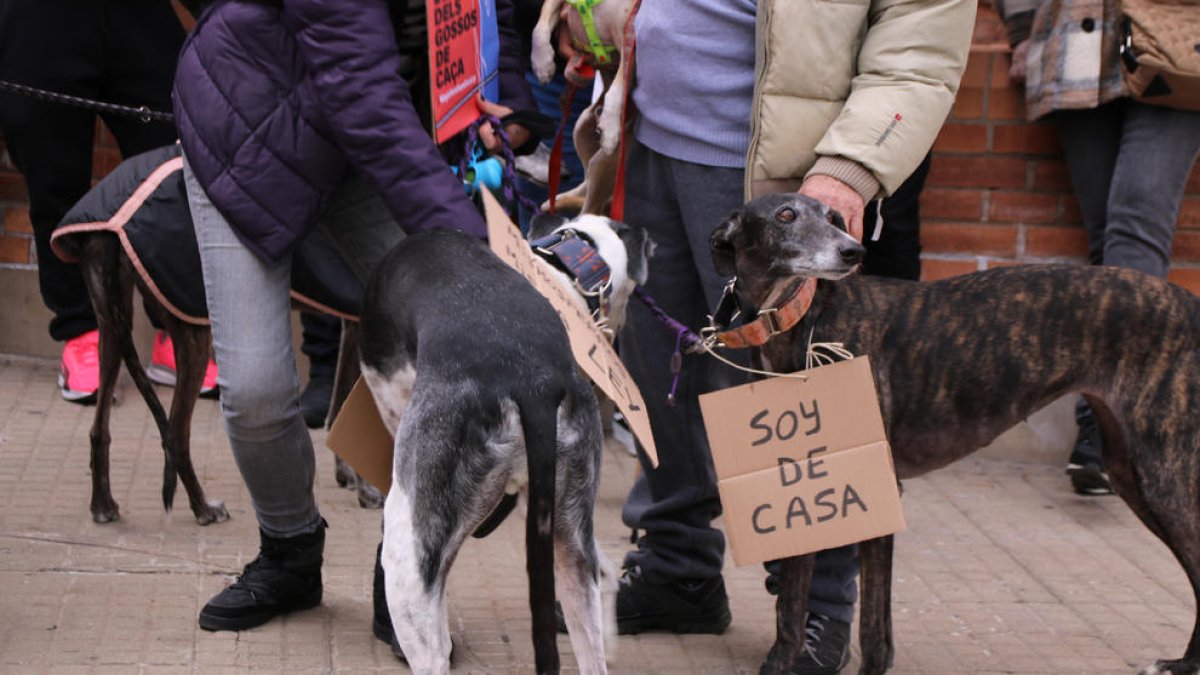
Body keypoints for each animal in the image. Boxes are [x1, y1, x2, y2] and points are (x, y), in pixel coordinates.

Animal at [705, 190, 1200, 672]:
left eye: (834, 217)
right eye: (786, 215)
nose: (853, 251)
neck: (801, 323)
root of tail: (1190, 303)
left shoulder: (879, 488)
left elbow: (873, 628)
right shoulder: (808, 491)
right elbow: (790, 605)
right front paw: (779, 662)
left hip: (1163, 473)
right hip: (1128, 467)